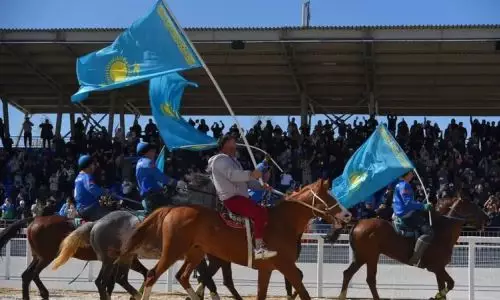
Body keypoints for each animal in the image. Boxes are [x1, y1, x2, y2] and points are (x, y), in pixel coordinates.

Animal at [0, 216, 148, 300]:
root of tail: (34, 220)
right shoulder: (128, 259)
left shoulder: (117, 261)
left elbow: (111, 284)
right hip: (46, 257)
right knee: (33, 274)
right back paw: (44, 293)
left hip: (38, 257)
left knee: (27, 275)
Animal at [116, 179, 352, 298]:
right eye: (330, 196)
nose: (348, 215)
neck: (283, 221)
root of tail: (173, 208)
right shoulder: (286, 266)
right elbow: (302, 290)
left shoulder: (267, 269)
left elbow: (263, 293)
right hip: (172, 251)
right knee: (152, 275)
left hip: (195, 253)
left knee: (182, 277)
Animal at [338, 195, 490, 300]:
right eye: (472, 205)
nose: (487, 217)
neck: (441, 230)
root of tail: (359, 222)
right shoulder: (437, 267)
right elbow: (451, 284)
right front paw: (436, 296)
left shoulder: (439, 270)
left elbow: (444, 287)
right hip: (370, 256)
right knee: (369, 278)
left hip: (361, 257)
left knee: (348, 273)